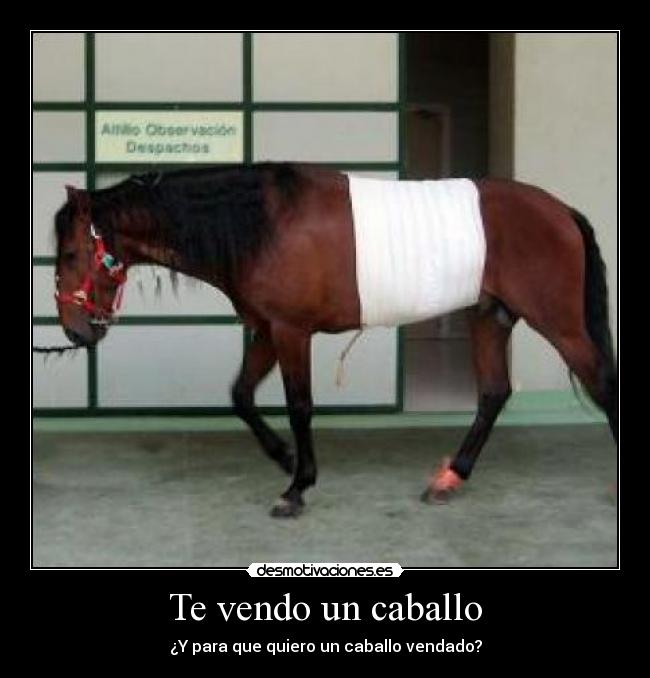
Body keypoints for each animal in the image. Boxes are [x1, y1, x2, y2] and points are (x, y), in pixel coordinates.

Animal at [53, 163, 618, 518]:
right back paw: (450, 478)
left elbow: (299, 405)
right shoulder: (267, 329)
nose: (74, 331)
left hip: (561, 324)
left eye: (71, 254)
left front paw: (297, 487)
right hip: (490, 317)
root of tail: (561, 210)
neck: (263, 222)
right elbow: (241, 395)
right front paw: (284, 458)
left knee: (602, 385)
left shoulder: (290, 331)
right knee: (494, 393)